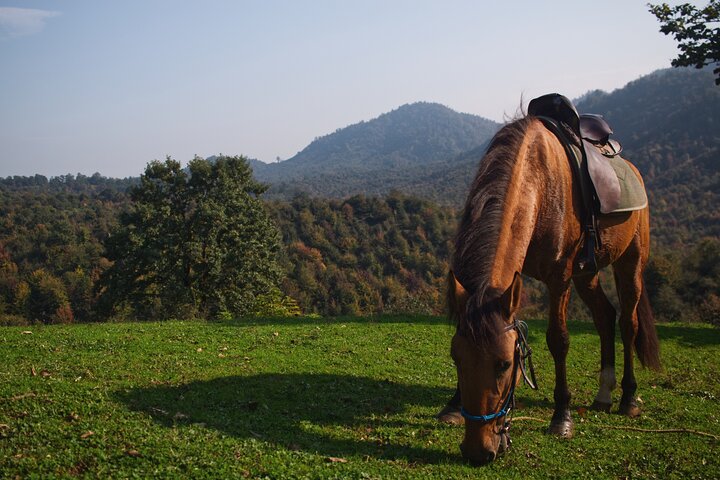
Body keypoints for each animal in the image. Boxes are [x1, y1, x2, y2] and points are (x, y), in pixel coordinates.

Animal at [439, 114, 661, 465]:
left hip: (631, 262)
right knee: (605, 316)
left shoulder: (559, 278)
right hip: (588, 272)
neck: (539, 186)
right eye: (456, 358)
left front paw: (562, 416)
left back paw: (627, 397)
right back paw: (604, 393)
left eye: (505, 364)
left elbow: (559, 340)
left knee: (628, 323)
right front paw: (453, 405)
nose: (477, 451)